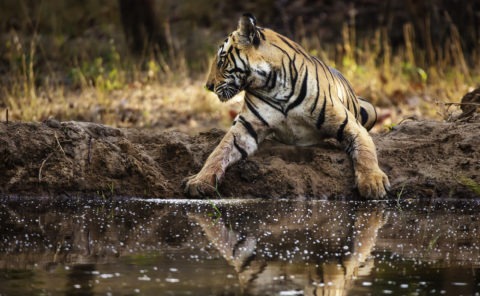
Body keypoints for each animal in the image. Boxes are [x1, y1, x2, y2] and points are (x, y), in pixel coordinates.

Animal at [184, 13, 390, 199]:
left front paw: (373, 183)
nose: (208, 86)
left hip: (371, 110)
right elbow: (219, 151)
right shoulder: (246, 127)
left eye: (221, 61)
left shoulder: (350, 125)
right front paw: (199, 180)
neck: (273, 85)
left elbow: (365, 152)